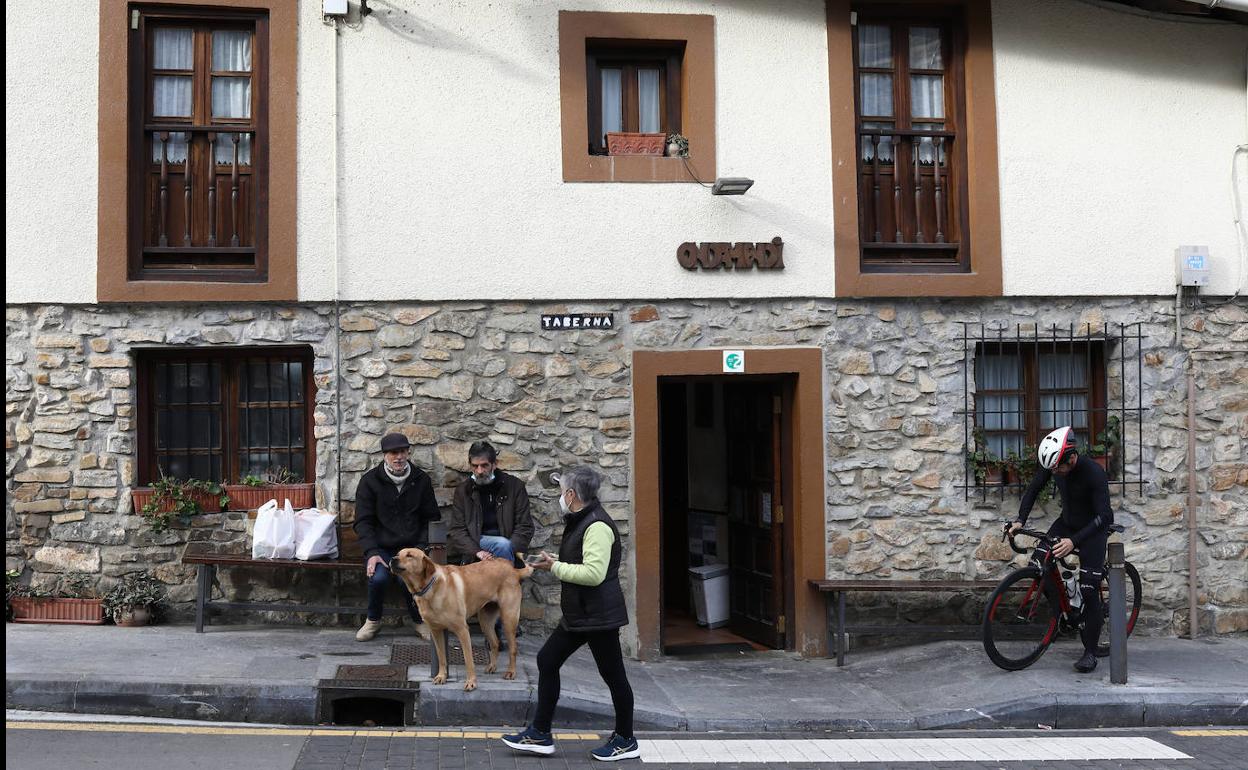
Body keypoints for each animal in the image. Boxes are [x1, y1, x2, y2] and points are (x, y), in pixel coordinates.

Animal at [386, 546, 529, 688]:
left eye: (409, 555)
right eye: (398, 553)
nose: (392, 559)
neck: (429, 588)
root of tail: (514, 570)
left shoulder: (462, 630)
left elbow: (468, 659)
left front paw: (471, 682)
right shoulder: (436, 631)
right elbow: (441, 657)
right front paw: (441, 676)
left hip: (508, 619)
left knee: (513, 648)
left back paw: (511, 672)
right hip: (485, 621)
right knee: (495, 643)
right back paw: (492, 666)